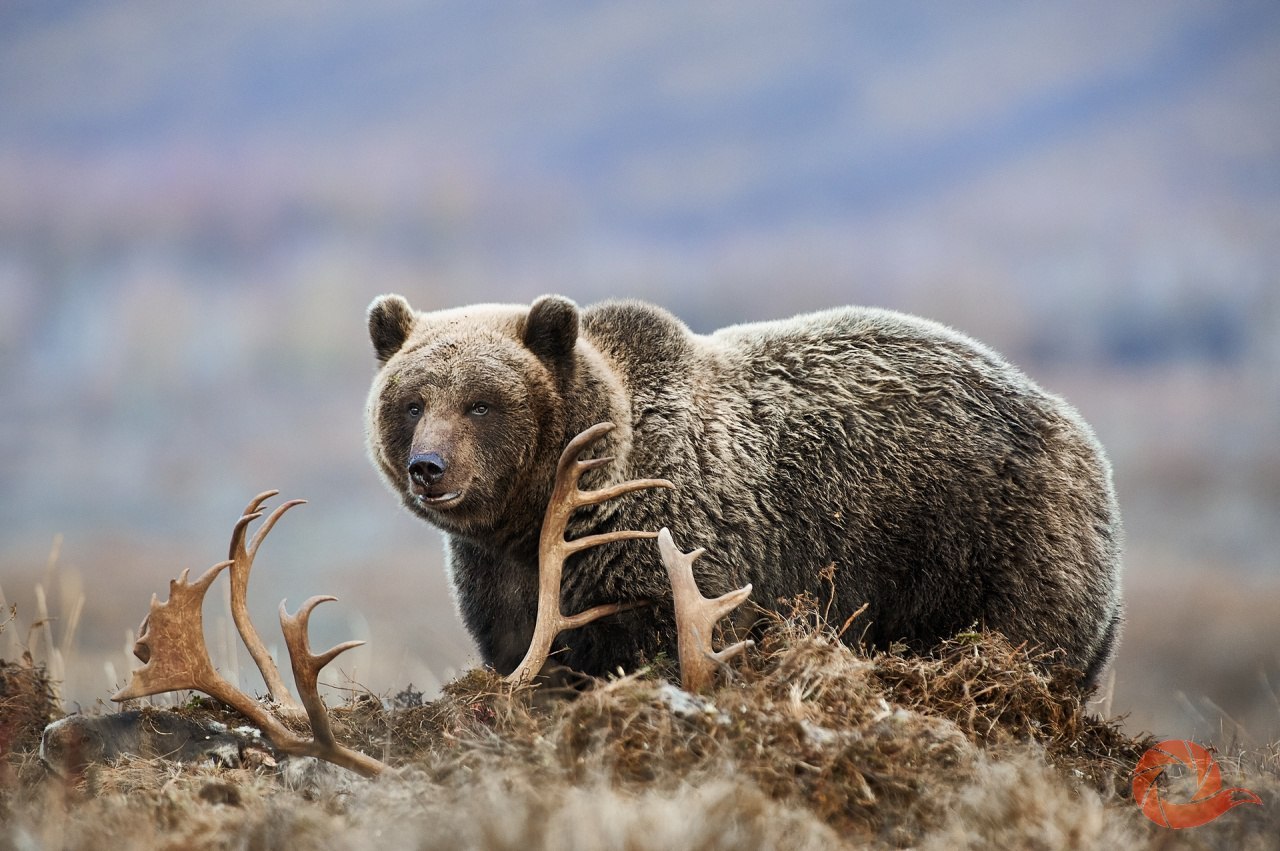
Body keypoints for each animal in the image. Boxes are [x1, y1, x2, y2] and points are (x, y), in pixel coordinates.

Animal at [360, 295, 1121, 685]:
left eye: (481, 403)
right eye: (412, 401)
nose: (430, 467)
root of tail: (1073, 422)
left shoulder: (675, 549)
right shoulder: (500, 580)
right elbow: (526, 651)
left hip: (990, 540)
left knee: (1032, 638)